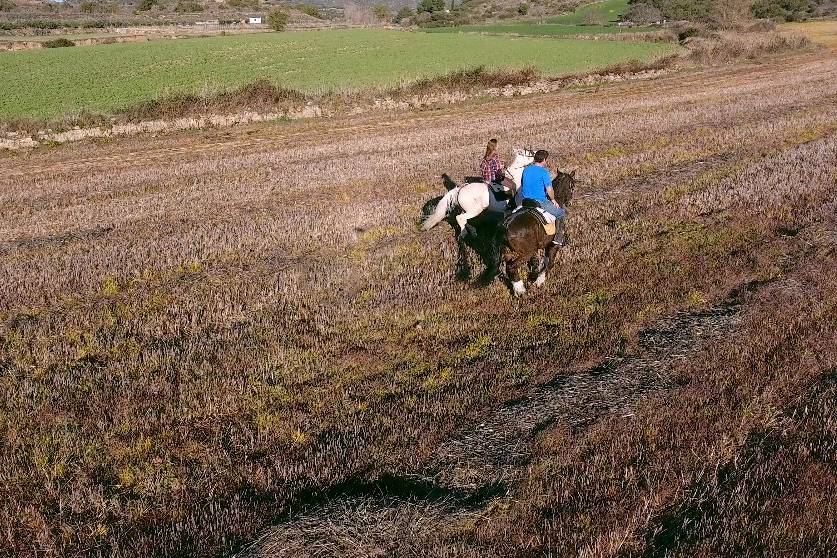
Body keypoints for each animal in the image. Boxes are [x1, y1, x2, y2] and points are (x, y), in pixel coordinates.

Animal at [496, 170, 576, 298]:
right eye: (572, 186)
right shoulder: (553, 245)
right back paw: (521, 291)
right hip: (526, 252)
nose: (569, 203)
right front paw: (539, 281)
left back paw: (518, 289)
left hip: (508, 252)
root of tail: (506, 225)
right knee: (511, 267)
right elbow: (549, 263)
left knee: (509, 268)